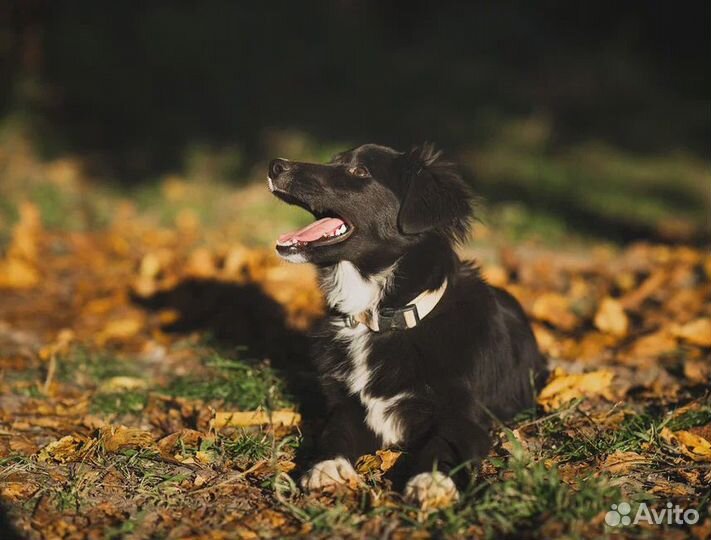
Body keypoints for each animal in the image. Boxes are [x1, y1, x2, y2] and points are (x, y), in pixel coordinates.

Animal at [270, 143, 548, 506]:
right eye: (333, 161)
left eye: (359, 171)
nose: (275, 166)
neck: (380, 319)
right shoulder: (350, 406)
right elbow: (335, 431)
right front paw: (326, 466)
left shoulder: (468, 416)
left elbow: (443, 443)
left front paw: (431, 480)